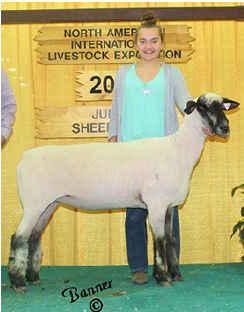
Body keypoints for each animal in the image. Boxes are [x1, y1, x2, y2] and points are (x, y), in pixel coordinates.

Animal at [8, 93, 239, 292]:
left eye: (223, 105)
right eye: (203, 107)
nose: (225, 128)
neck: (178, 150)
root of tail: (23, 158)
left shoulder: (168, 206)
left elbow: (171, 239)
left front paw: (176, 275)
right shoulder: (156, 203)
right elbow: (160, 240)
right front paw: (164, 277)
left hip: (48, 204)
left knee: (33, 237)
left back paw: (33, 278)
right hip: (33, 203)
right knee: (19, 237)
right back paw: (18, 282)